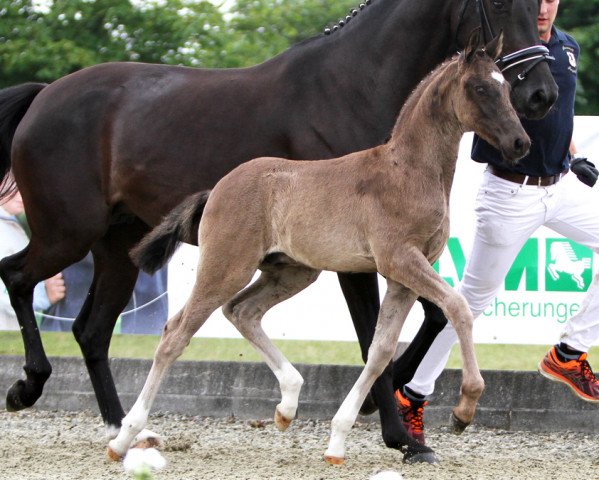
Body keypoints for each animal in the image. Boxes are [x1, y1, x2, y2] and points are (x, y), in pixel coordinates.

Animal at [108, 31, 528, 464]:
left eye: (506, 87)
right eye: (479, 88)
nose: (520, 143)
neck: (409, 172)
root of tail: (217, 189)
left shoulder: (405, 276)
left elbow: (381, 351)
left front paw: (338, 440)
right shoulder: (400, 260)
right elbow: (457, 307)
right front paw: (466, 407)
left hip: (292, 271)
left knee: (242, 311)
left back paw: (288, 404)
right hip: (227, 265)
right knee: (176, 332)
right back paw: (124, 437)